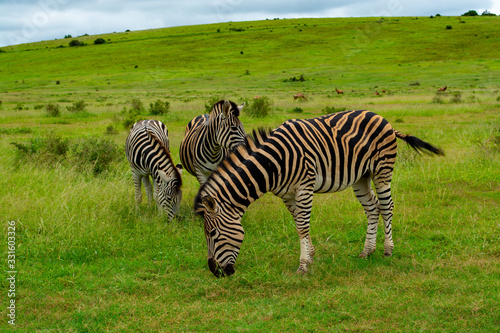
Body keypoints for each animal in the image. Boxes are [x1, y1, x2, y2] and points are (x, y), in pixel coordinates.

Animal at [193, 109, 444, 274]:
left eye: (212, 234)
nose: (215, 272)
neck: (273, 164)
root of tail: (383, 119)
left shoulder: (304, 186)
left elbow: (303, 226)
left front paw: (303, 265)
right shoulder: (287, 194)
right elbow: (298, 224)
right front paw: (311, 256)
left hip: (382, 170)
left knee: (387, 206)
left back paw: (388, 250)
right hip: (360, 177)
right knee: (373, 209)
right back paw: (367, 251)